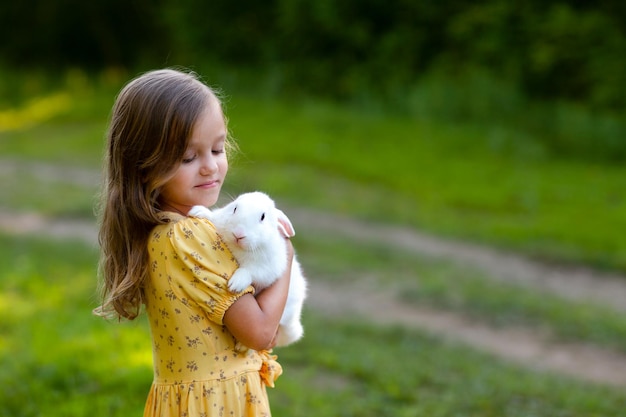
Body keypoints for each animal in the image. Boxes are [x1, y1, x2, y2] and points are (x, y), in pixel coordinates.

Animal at [190, 190, 308, 346]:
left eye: (263, 217)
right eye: (234, 208)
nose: (238, 234)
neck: (239, 248)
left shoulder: (266, 269)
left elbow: (249, 271)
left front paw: (235, 285)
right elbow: (214, 216)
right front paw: (198, 211)